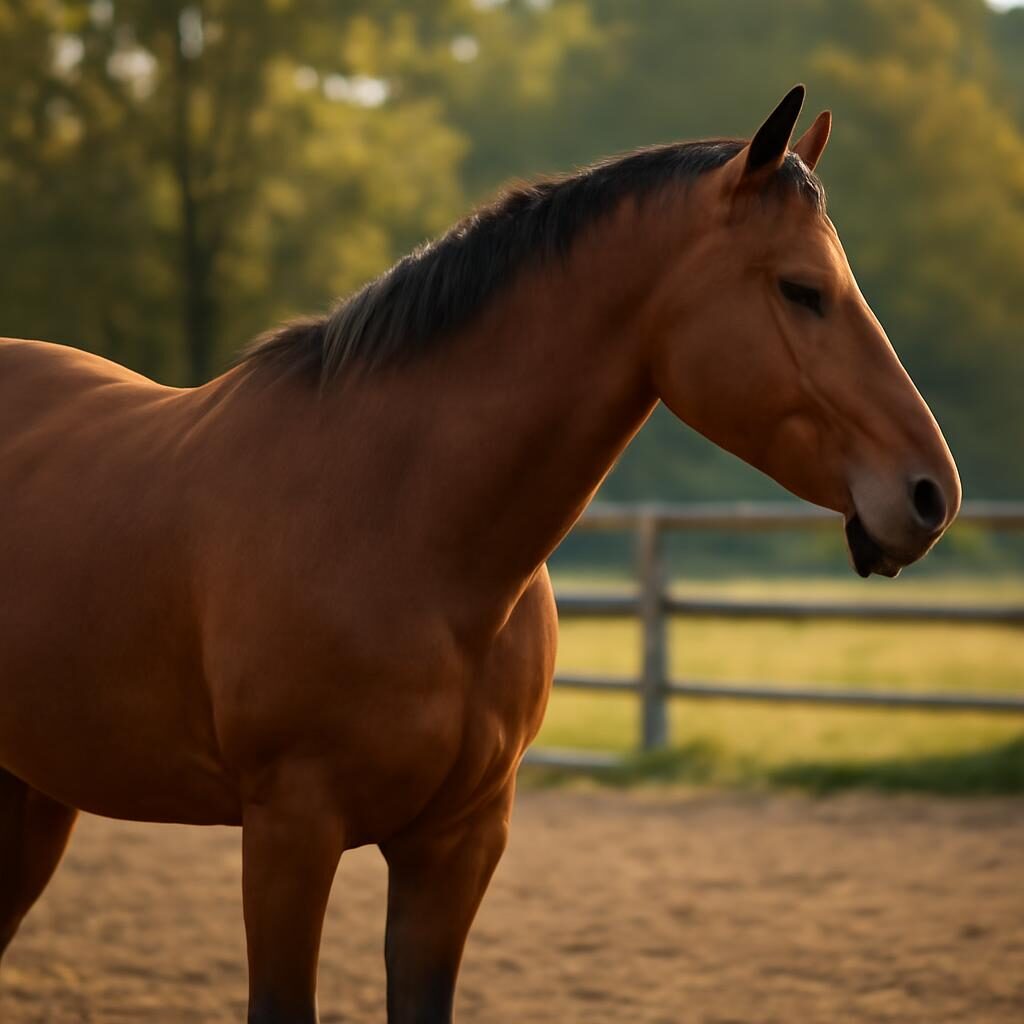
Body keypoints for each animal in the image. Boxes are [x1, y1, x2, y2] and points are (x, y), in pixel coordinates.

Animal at [0, 85, 960, 1022]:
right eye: (803, 290)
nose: (931, 495)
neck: (402, 530)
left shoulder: (459, 842)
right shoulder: (288, 831)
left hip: (36, 797)